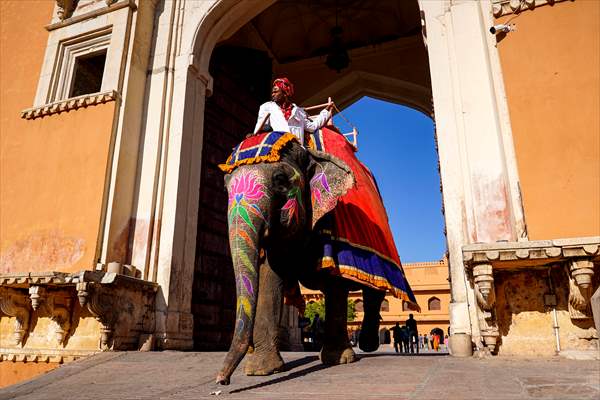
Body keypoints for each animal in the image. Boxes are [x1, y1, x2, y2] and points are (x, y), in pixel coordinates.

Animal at [216, 130, 418, 386]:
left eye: (280, 179)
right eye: (225, 187)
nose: (222, 381)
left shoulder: (334, 225)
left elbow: (336, 284)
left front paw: (338, 359)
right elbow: (270, 279)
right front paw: (261, 370)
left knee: (374, 291)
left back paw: (367, 345)